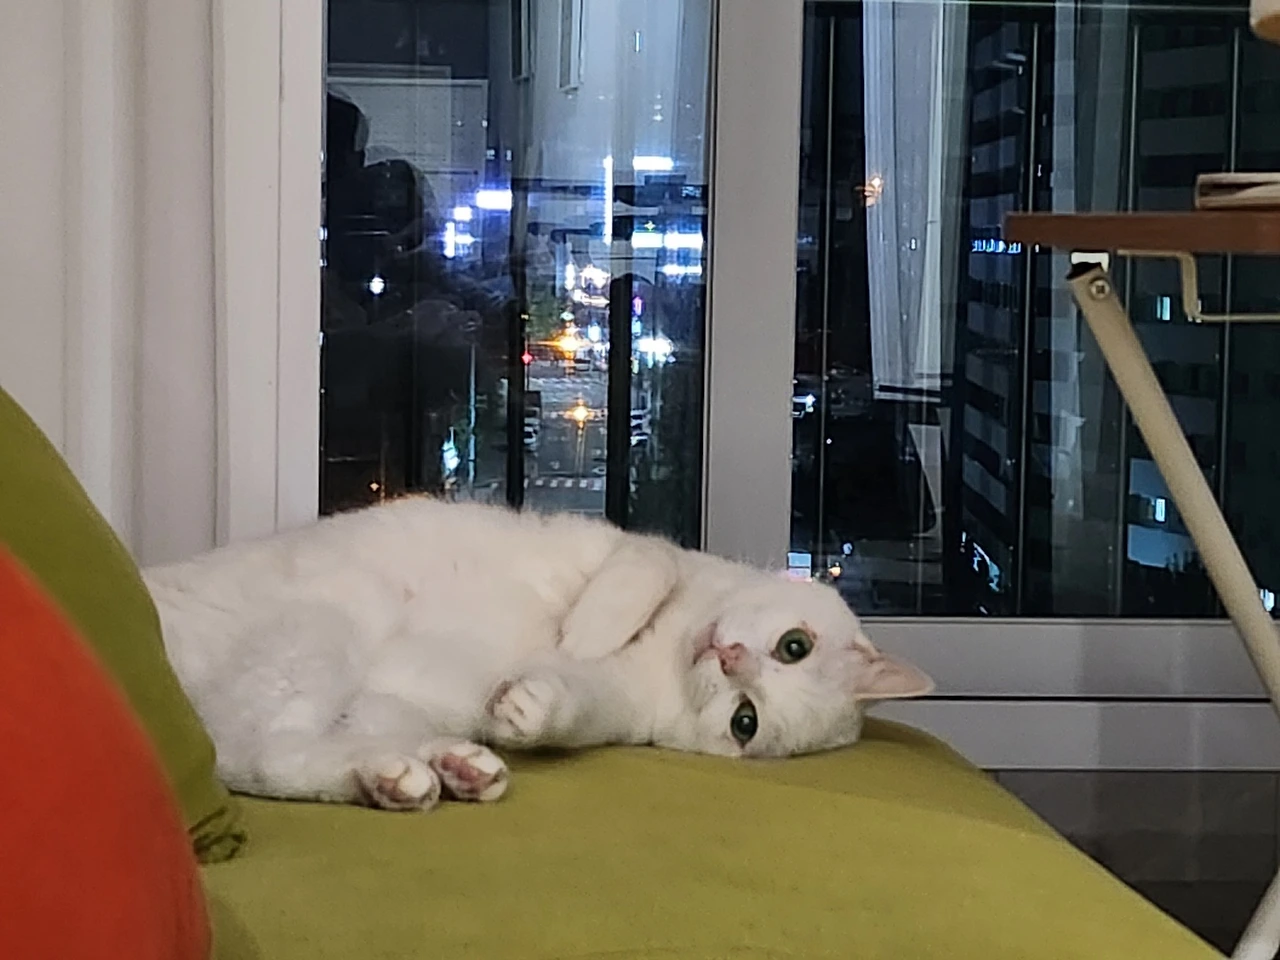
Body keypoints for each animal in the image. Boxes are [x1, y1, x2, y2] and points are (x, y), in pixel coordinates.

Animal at [145, 496, 934, 812]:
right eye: (794, 646)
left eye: (747, 722)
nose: (730, 656)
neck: (664, 652)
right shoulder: (626, 549)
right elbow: (645, 570)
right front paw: (588, 629)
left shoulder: (613, 710)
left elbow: (568, 705)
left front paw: (526, 705)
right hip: (330, 629)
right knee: (249, 751)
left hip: (358, 679)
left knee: (263, 754)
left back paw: (433, 771)